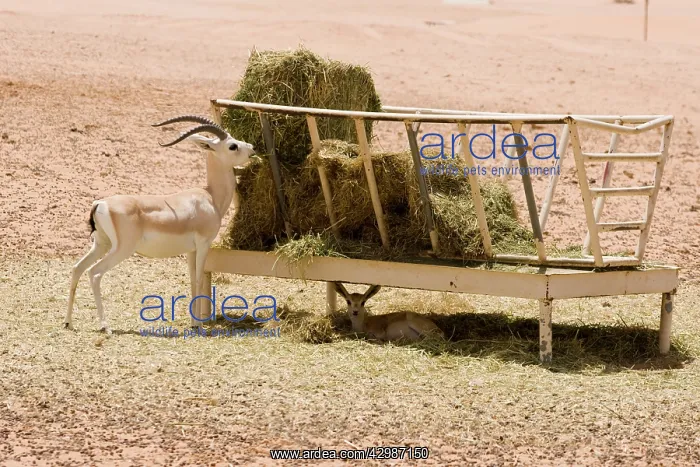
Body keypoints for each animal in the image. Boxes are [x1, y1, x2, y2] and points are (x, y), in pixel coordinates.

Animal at [65, 115, 256, 334]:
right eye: (233, 146)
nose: (252, 148)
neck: (210, 197)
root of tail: (100, 203)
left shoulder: (190, 250)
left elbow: (192, 280)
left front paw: (193, 322)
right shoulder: (203, 244)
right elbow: (199, 279)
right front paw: (199, 325)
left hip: (101, 244)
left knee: (77, 268)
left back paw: (68, 322)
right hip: (121, 250)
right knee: (94, 273)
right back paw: (105, 326)